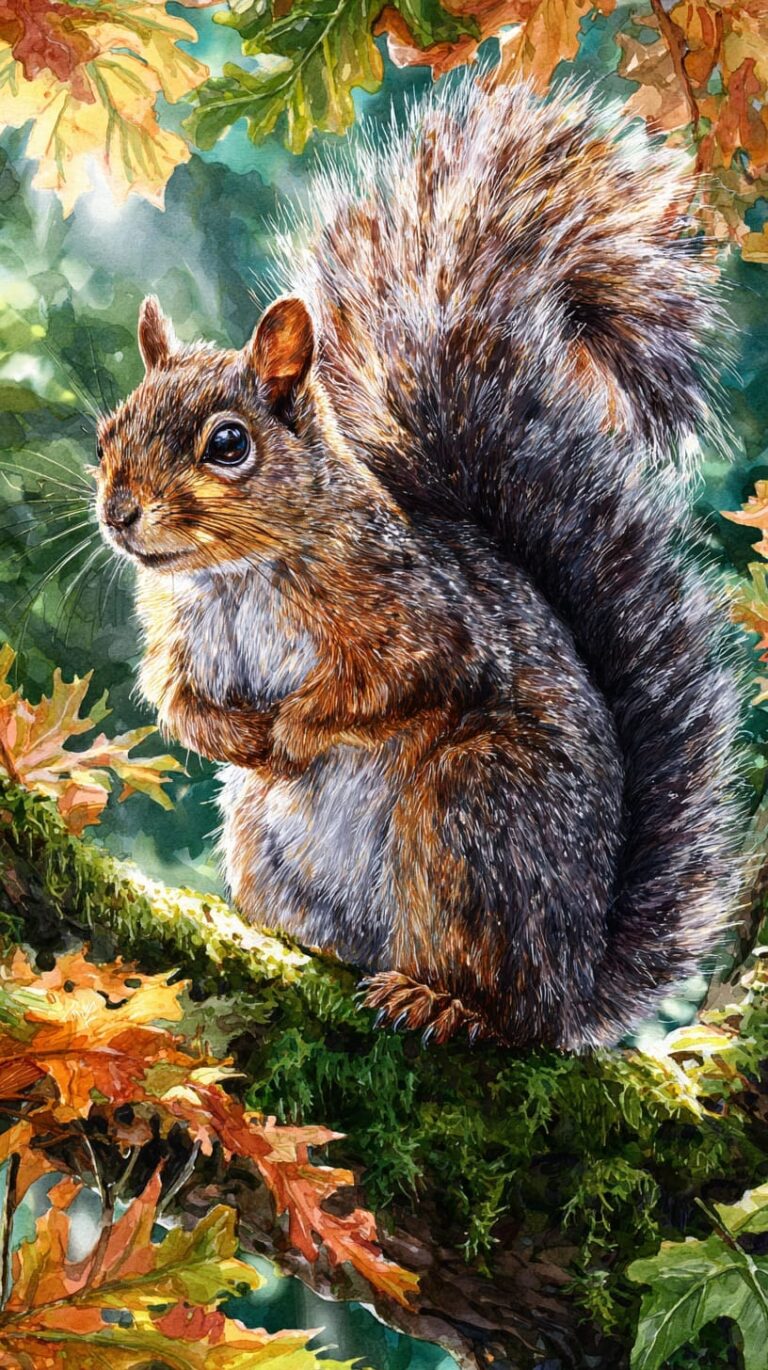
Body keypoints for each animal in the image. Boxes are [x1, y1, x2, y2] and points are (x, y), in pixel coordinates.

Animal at [95, 77, 741, 1050]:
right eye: (107, 435)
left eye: (228, 444)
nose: (120, 512)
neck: (234, 574)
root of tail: (577, 980)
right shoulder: (178, 639)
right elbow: (174, 701)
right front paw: (237, 736)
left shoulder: (414, 610)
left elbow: (402, 680)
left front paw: (295, 730)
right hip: (270, 842)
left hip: (473, 814)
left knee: (504, 1006)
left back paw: (447, 1003)